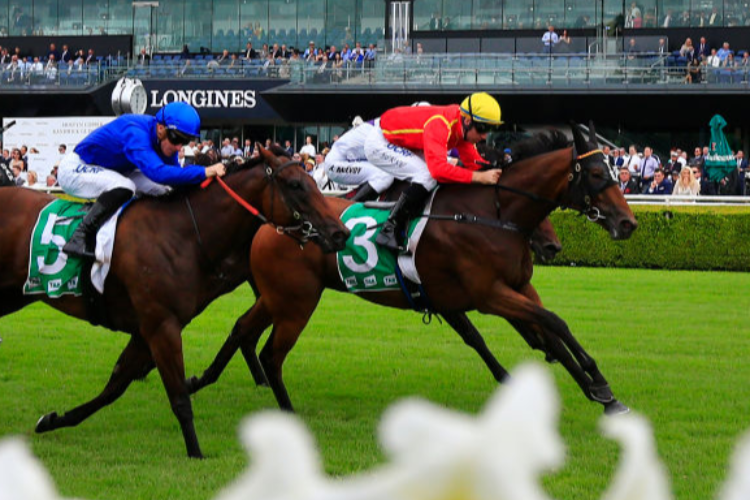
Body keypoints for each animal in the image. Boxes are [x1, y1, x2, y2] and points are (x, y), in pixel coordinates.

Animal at [0, 145, 352, 458]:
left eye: (314, 181)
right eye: (295, 185)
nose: (340, 233)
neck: (182, 235)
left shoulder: (146, 330)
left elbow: (115, 386)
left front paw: (52, 420)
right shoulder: (162, 326)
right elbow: (179, 397)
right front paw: (196, 453)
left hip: (13, 296)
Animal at [191, 123, 636, 416]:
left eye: (617, 172)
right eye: (598, 173)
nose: (628, 222)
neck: (490, 214)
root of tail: (272, 223)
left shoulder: (509, 289)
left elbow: (545, 334)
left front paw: (600, 392)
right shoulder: (488, 295)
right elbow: (553, 323)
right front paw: (599, 383)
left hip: (276, 296)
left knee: (242, 329)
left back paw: (202, 379)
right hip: (295, 300)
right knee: (266, 347)